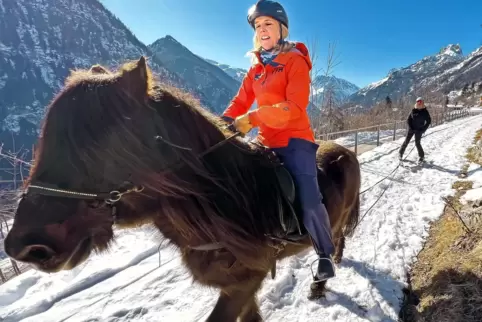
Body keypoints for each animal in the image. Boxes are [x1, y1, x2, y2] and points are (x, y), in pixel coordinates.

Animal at [2, 56, 358, 320]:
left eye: (94, 144)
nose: (24, 246)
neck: (232, 201)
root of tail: (345, 150)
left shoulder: (245, 281)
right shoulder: (242, 285)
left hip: (332, 221)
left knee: (333, 238)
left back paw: (322, 280)